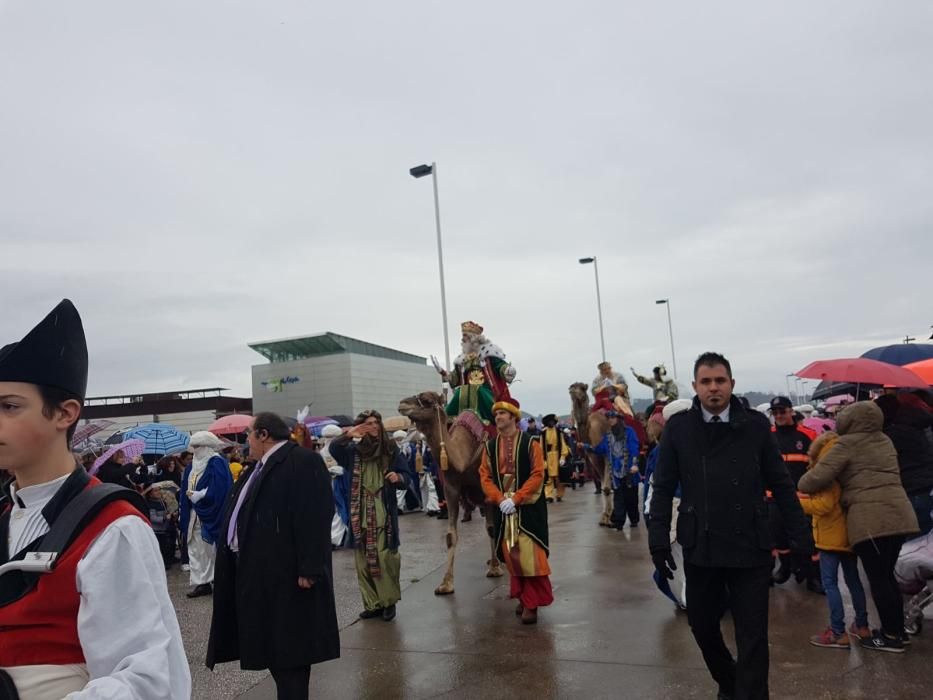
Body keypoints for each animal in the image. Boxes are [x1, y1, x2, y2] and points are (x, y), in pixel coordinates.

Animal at [398, 392, 506, 592]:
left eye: (427, 401)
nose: (403, 404)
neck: (463, 457)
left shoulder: (487, 490)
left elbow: (491, 528)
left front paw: (495, 568)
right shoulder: (451, 490)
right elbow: (450, 536)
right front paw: (445, 583)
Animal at [564, 382, 616, 524]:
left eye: (582, 388)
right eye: (572, 386)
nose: (571, 390)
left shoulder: (607, 454)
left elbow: (607, 486)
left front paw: (609, 517)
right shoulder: (594, 458)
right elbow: (604, 486)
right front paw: (605, 516)